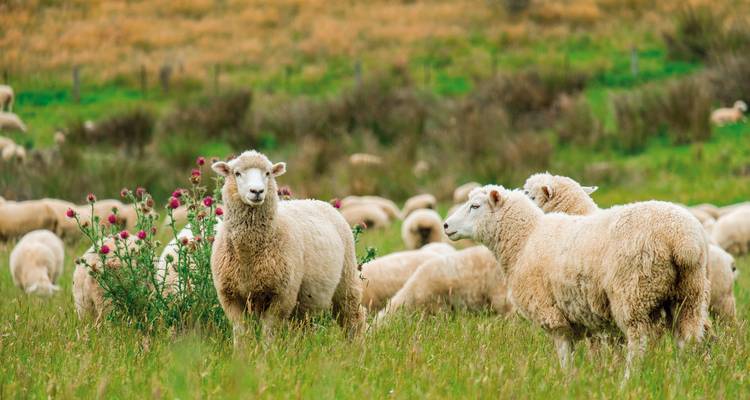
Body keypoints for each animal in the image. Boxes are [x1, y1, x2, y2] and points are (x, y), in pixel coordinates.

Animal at [211, 150, 365, 345]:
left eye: (268, 173)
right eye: (237, 173)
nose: (257, 191)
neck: (248, 256)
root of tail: (317, 200)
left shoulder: (281, 295)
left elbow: (269, 331)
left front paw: (267, 352)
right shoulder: (230, 296)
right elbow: (242, 333)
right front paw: (242, 353)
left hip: (346, 278)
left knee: (353, 316)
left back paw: (356, 346)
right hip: (305, 300)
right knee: (304, 326)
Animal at [444, 186, 709, 376]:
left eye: (475, 206)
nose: (446, 225)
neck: (525, 239)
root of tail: (681, 238)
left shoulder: (551, 312)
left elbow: (564, 353)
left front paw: (566, 382)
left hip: (634, 291)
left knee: (639, 343)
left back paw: (628, 382)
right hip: (690, 294)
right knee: (686, 340)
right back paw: (680, 379)